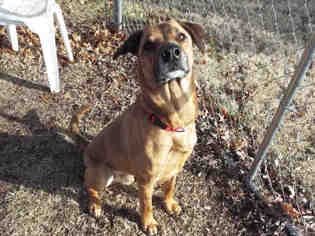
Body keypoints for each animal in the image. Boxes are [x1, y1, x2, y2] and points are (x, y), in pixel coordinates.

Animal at [70, 18, 206, 234]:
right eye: (148, 45)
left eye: (181, 36)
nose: (171, 52)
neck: (170, 123)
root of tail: (87, 146)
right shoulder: (147, 180)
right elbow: (146, 204)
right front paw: (148, 223)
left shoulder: (175, 169)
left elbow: (170, 188)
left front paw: (169, 204)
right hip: (101, 175)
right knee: (90, 188)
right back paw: (95, 205)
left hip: (129, 177)